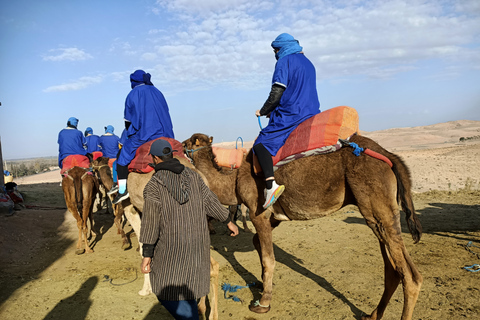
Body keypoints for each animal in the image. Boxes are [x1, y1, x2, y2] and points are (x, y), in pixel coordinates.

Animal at [182, 132, 422, 320]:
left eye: (191, 141)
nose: (181, 145)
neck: (232, 182)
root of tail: (389, 156)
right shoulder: (273, 217)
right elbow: (258, 245)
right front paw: (260, 284)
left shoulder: (259, 213)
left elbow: (268, 258)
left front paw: (263, 303)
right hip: (377, 215)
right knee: (393, 270)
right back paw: (372, 315)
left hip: (377, 206)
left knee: (410, 276)